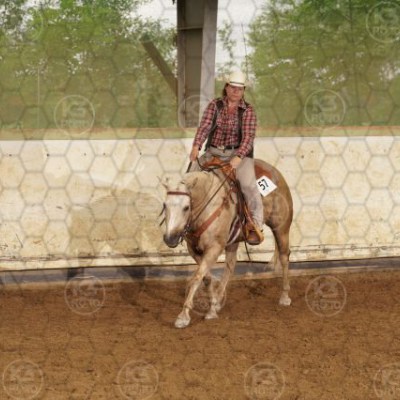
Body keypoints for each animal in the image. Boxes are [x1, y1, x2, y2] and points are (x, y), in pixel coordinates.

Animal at [162, 158, 293, 328]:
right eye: (165, 205)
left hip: (281, 229)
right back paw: (218, 301)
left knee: (284, 257)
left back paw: (284, 296)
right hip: (233, 240)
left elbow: (197, 277)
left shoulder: (214, 248)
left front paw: (183, 316)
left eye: (186, 207)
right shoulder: (194, 250)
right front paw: (212, 307)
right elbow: (206, 277)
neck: (207, 206)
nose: (170, 238)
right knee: (230, 265)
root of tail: (277, 173)